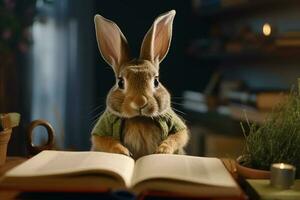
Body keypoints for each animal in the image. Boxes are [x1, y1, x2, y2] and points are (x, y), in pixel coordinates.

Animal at [91, 10, 189, 159]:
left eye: (156, 81)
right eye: (120, 82)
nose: (140, 102)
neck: (139, 118)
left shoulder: (173, 122)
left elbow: (179, 136)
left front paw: (162, 150)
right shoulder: (103, 126)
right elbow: (104, 140)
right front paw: (123, 152)